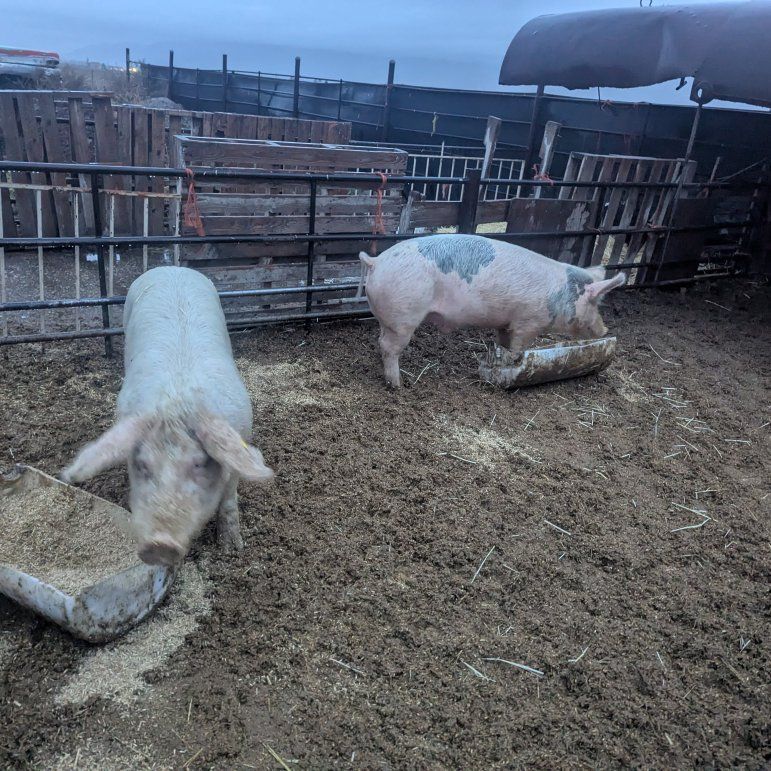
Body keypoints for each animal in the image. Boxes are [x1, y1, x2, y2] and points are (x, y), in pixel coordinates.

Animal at [60, 266, 274, 566]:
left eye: (198, 464)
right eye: (142, 465)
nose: (159, 545)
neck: (177, 403)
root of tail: (173, 267)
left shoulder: (240, 434)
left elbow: (230, 498)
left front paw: (232, 549)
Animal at [359, 234, 626, 387]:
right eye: (596, 303)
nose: (605, 329)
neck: (560, 294)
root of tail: (376, 261)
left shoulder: (506, 324)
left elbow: (504, 343)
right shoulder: (528, 322)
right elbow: (518, 348)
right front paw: (514, 365)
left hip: (389, 318)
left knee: (381, 341)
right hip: (404, 317)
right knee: (389, 347)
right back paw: (398, 384)